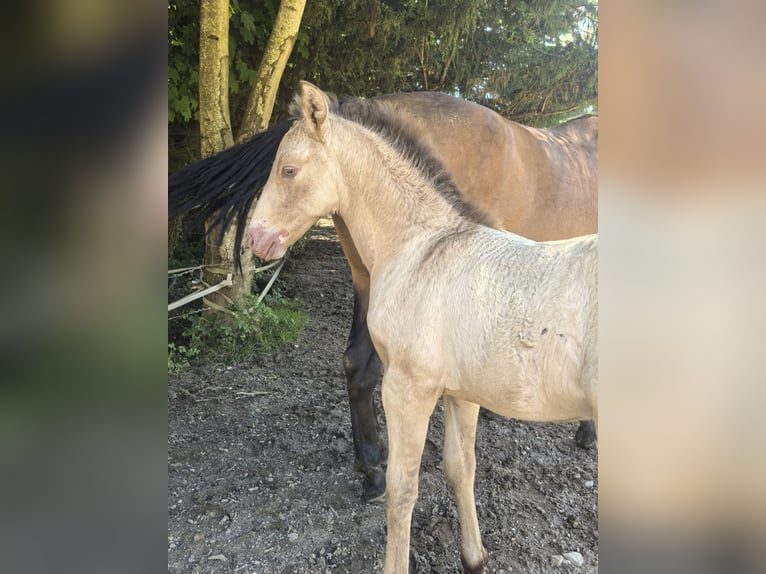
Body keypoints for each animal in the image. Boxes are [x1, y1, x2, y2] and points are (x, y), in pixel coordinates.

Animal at [169, 88, 598, 502]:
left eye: (289, 170)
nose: (258, 238)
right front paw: (587, 430)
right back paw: (375, 468)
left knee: (356, 365)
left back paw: (370, 467)